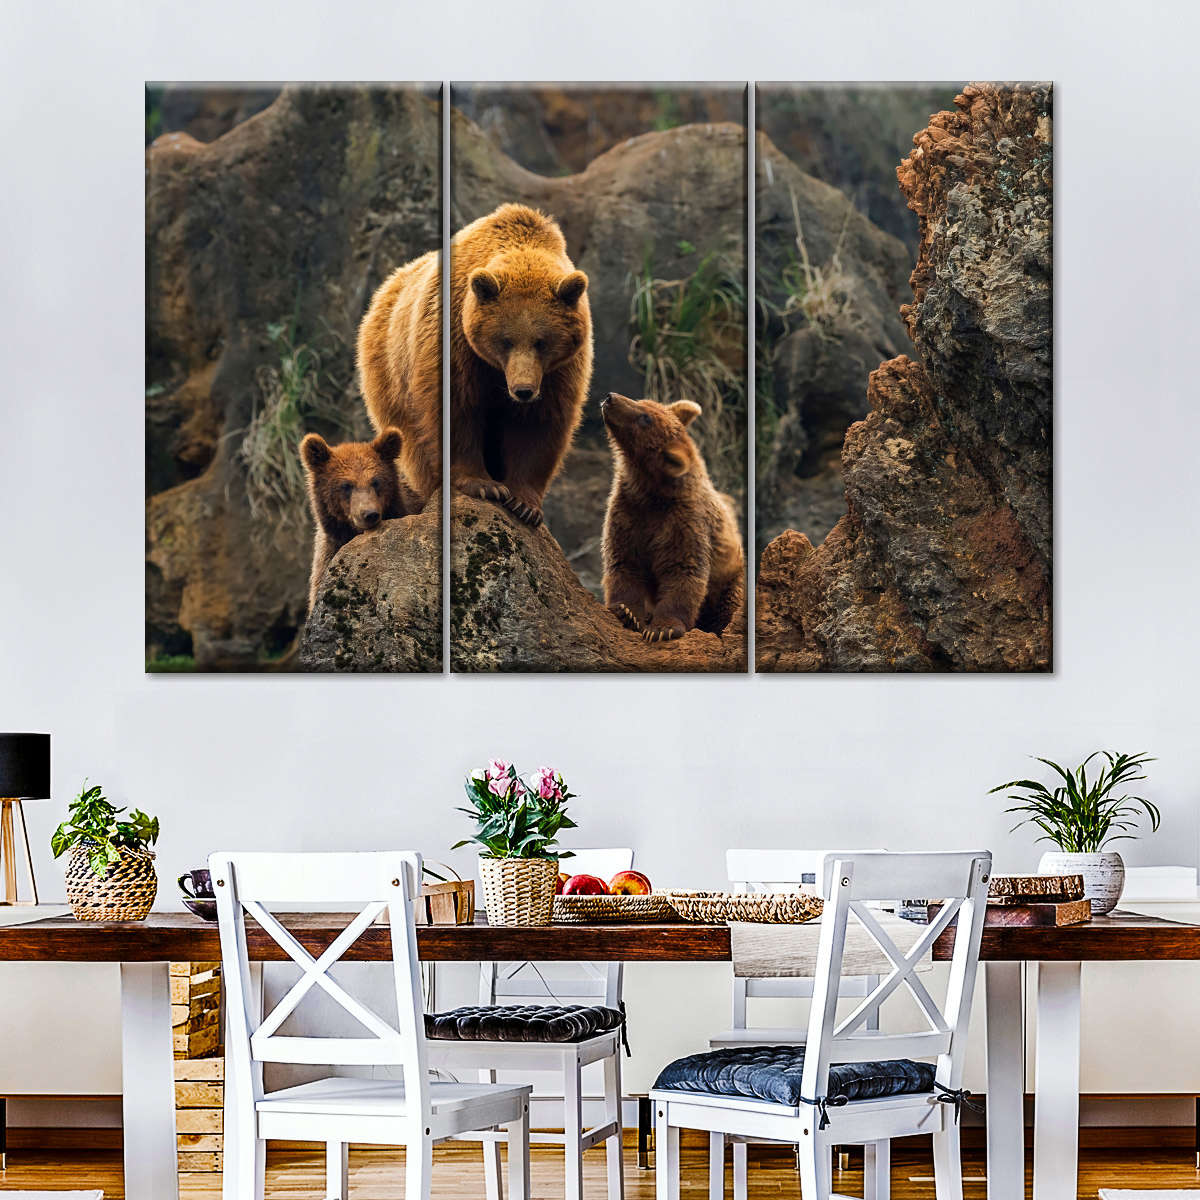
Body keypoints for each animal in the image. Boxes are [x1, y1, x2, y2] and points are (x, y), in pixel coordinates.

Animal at [600, 392, 745, 643]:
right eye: (643, 402)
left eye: (645, 418)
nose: (611, 398)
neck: (651, 491)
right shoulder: (627, 512)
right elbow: (623, 562)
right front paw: (627, 612)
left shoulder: (684, 522)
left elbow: (682, 572)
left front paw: (662, 629)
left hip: (730, 578)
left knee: (729, 606)